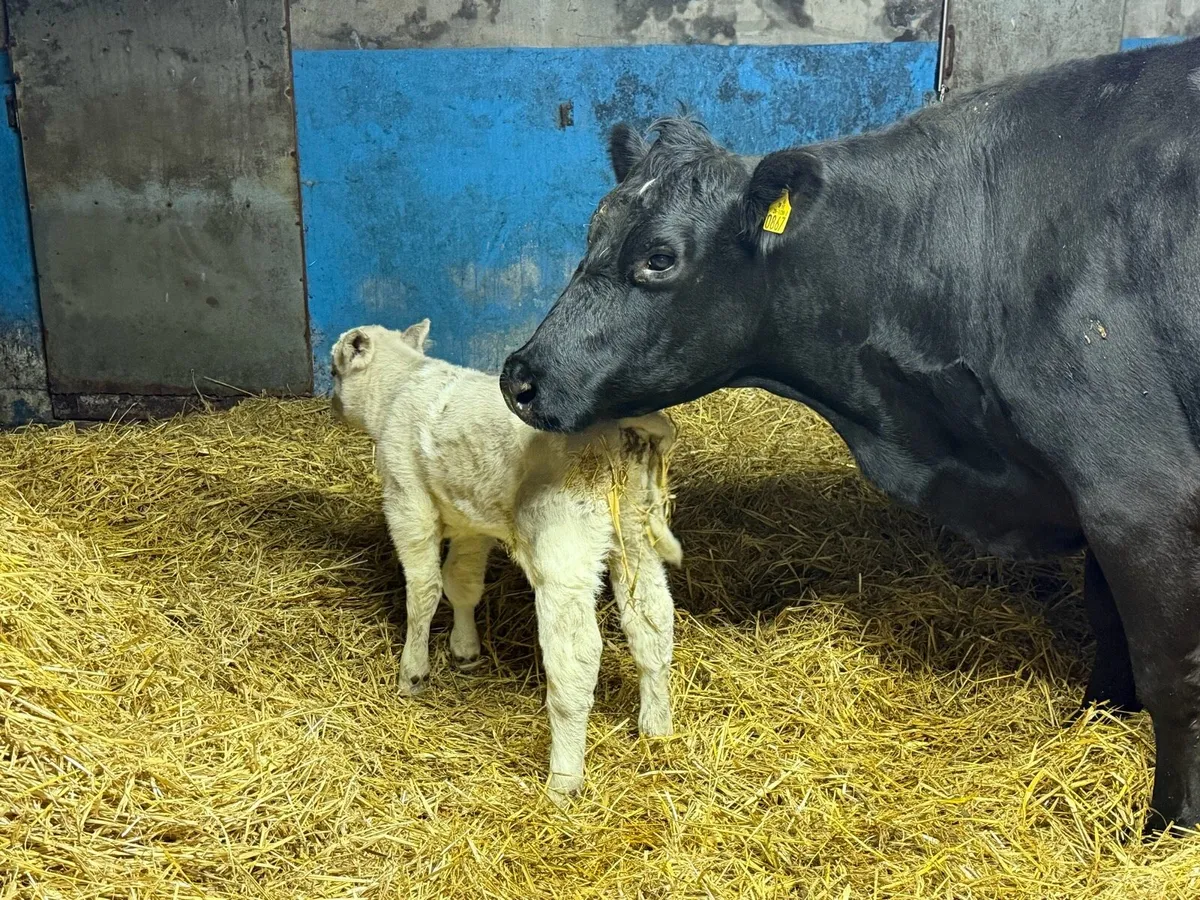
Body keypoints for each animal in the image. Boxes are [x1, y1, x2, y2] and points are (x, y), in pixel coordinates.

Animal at [498, 37, 1200, 834]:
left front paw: (1169, 823)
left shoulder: (1139, 491)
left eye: (659, 257)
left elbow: (1168, 671)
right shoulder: (1095, 493)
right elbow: (1109, 627)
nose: (520, 376)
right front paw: (1094, 722)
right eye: (593, 233)